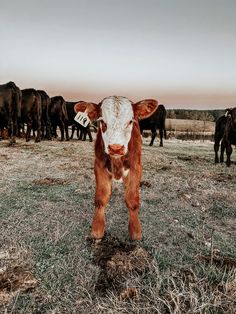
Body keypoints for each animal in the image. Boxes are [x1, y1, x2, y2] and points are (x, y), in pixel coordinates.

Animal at [74, 95, 158, 240]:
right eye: (102, 121)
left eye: (130, 121)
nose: (116, 148)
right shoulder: (99, 165)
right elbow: (101, 197)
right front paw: (97, 229)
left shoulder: (136, 167)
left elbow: (132, 199)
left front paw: (135, 231)